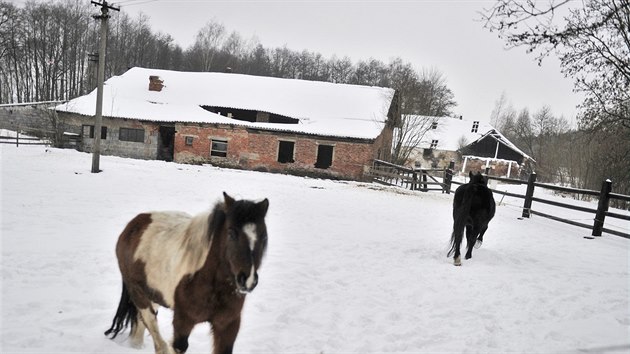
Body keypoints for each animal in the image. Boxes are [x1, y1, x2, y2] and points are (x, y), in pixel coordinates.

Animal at [103, 194, 270, 354]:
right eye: (231, 233)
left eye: (264, 236)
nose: (248, 280)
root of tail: (133, 225)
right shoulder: (182, 321)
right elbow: (176, 346)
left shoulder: (228, 324)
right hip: (139, 295)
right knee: (156, 336)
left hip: (154, 296)